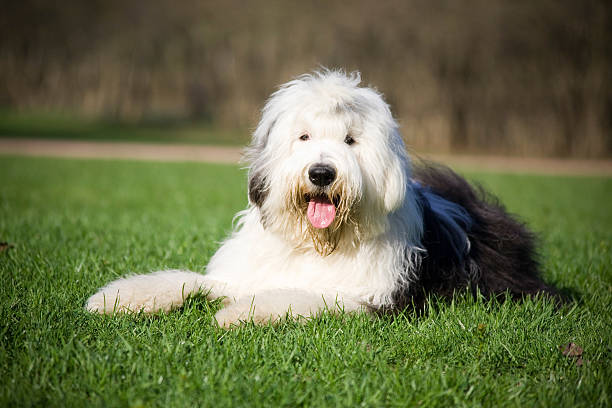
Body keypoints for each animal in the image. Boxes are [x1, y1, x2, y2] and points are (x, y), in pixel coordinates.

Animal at [87, 69, 560, 326]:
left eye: (351, 140)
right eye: (304, 137)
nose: (321, 173)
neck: (319, 243)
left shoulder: (375, 299)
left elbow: (303, 296)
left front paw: (238, 313)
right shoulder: (241, 272)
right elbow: (187, 279)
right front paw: (116, 299)